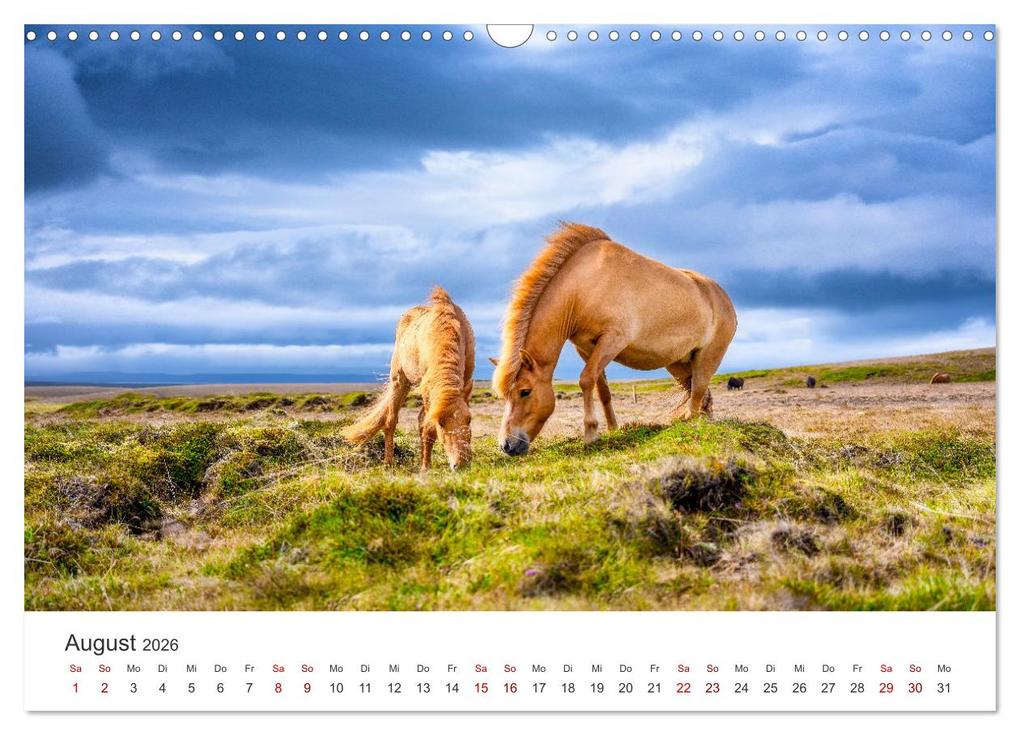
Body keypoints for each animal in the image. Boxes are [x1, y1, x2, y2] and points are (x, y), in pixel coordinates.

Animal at [343, 286, 475, 471]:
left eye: (469, 420)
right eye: (441, 423)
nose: (461, 464)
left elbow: (425, 425)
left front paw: (425, 463)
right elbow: (429, 428)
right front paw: (425, 467)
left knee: (419, 420)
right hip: (399, 381)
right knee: (390, 421)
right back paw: (388, 463)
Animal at [490, 223, 737, 455]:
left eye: (525, 391)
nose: (507, 445)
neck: (581, 289)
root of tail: (723, 297)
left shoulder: (612, 340)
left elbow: (586, 380)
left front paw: (591, 433)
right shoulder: (586, 349)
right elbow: (602, 390)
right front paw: (612, 429)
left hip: (706, 359)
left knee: (697, 392)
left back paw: (692, 422)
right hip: (679, 364)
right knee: (702, 394)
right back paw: (705, 421)